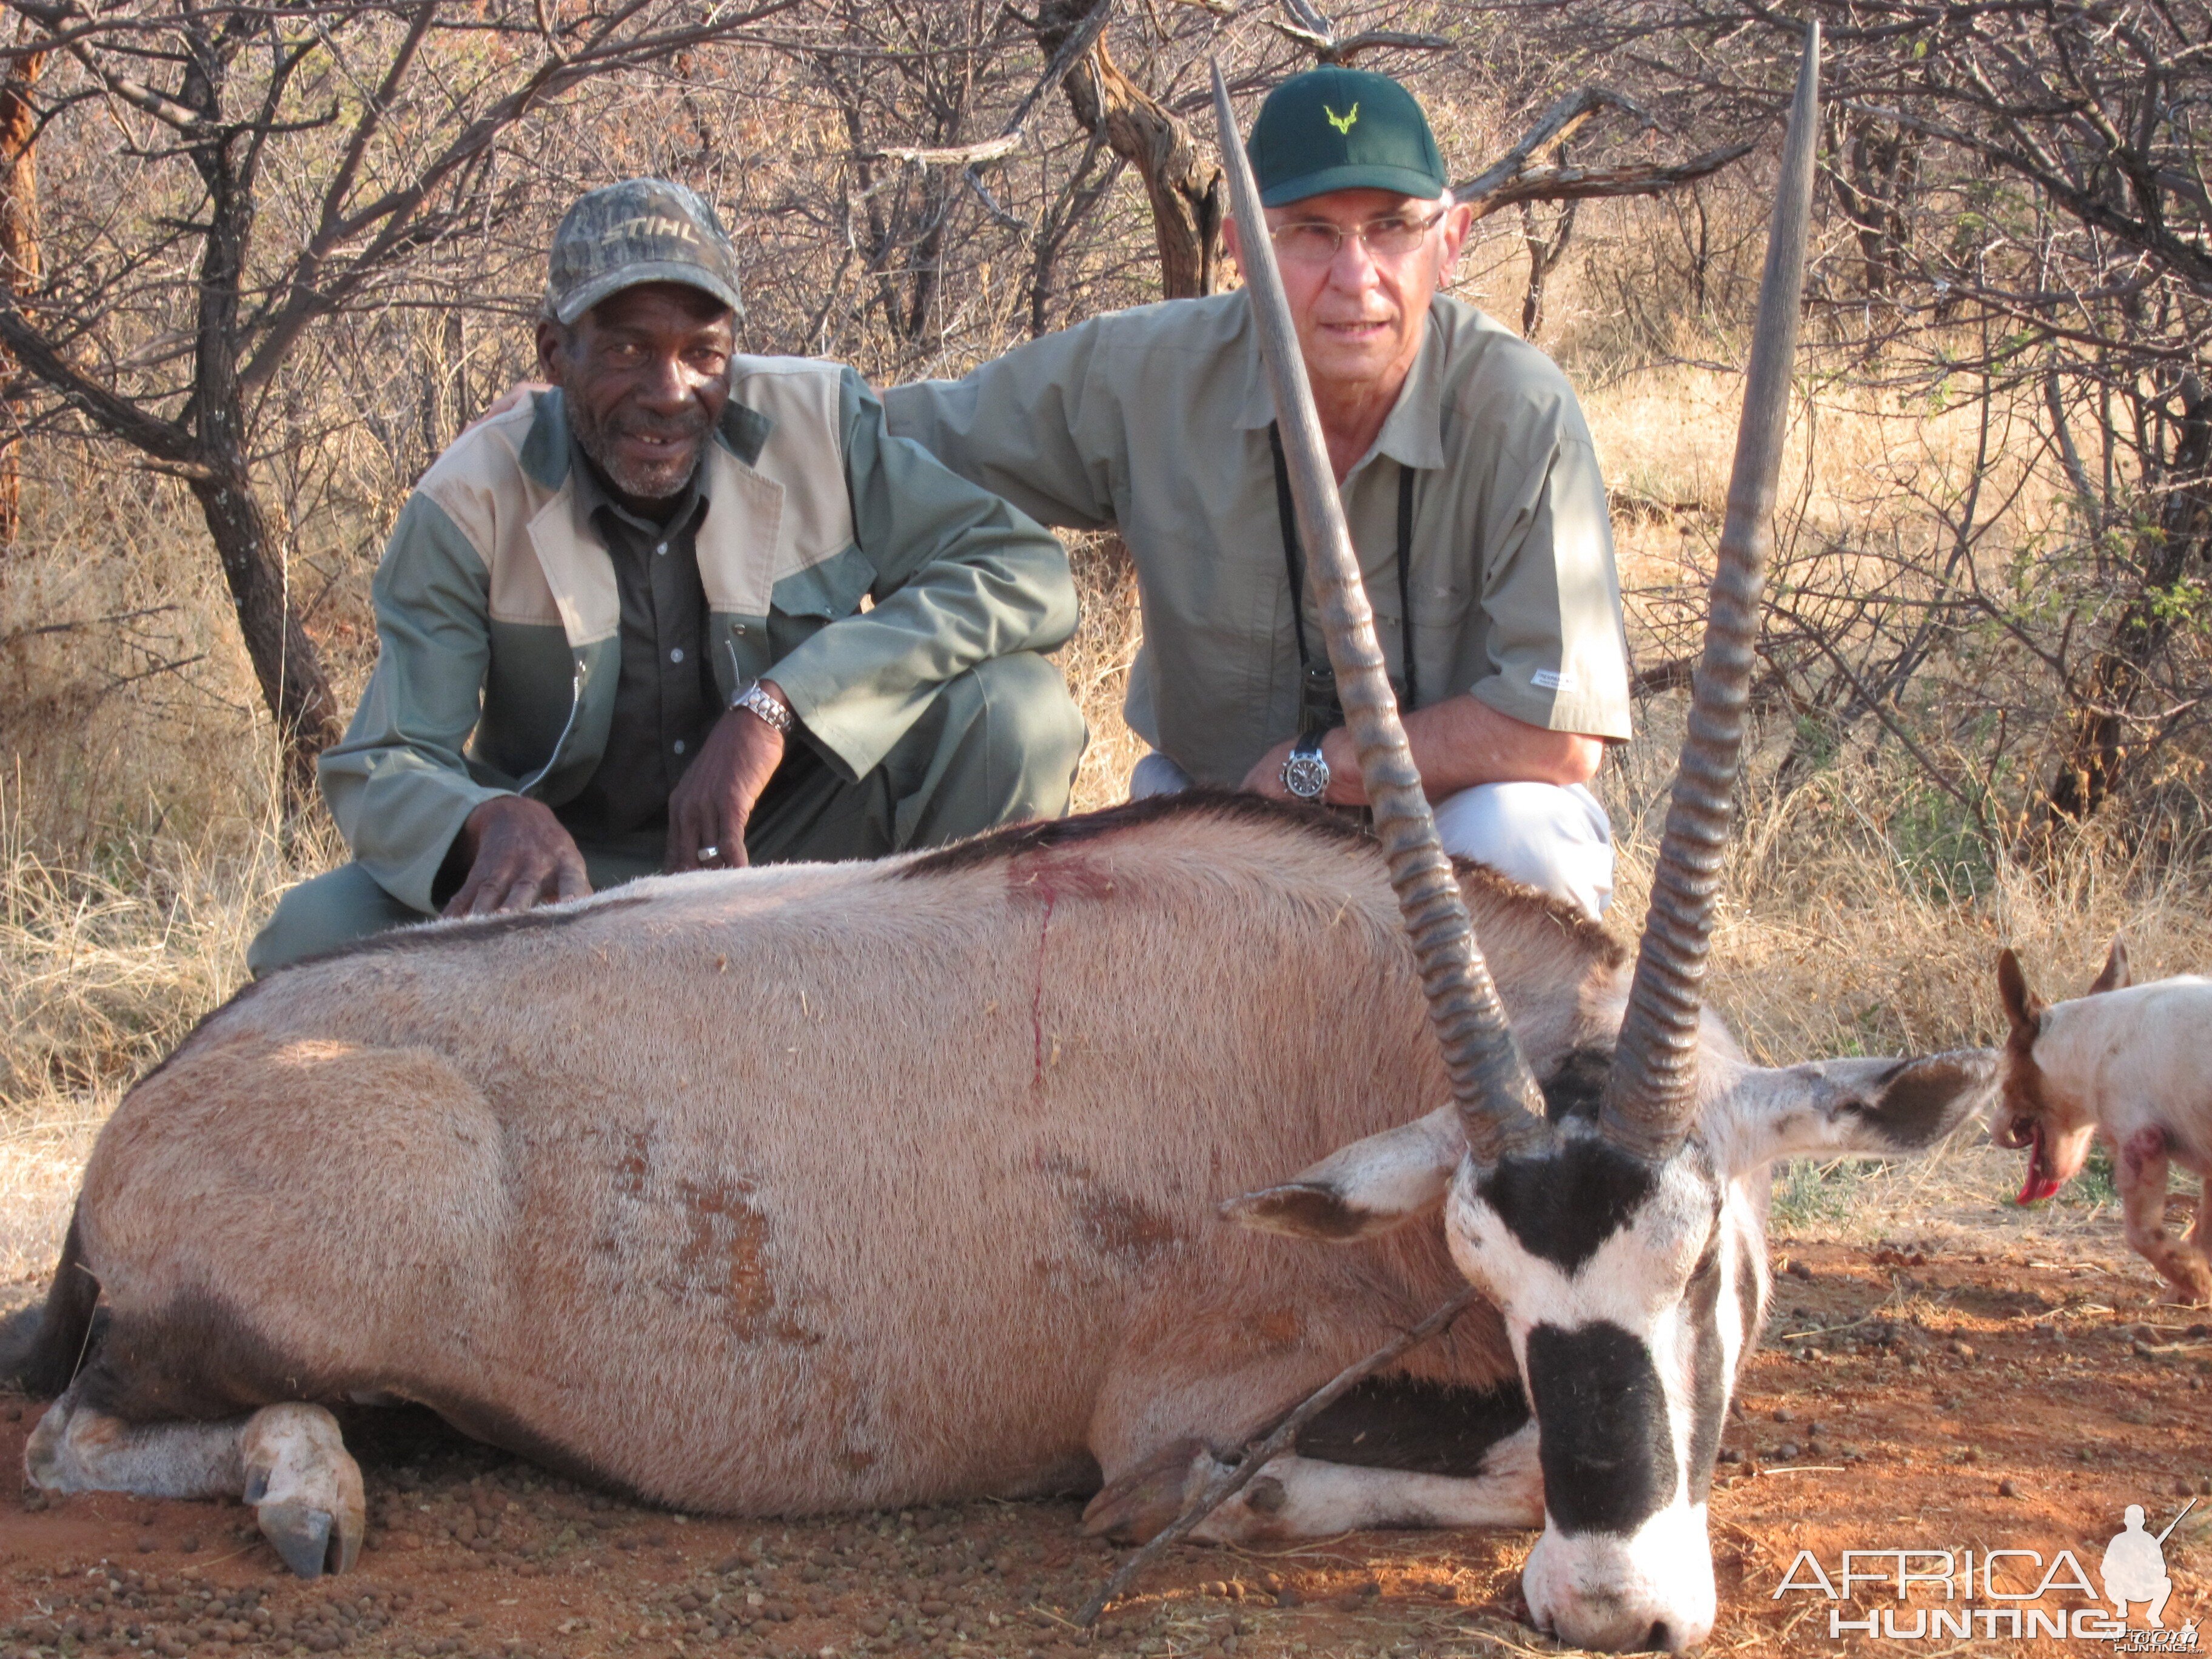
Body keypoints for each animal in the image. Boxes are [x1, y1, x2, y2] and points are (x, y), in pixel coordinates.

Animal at [1999, 942, 2203, 1309]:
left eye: (2006, 1079)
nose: (1997, 1128)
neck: (2097, 1043)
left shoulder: (2142, 1141)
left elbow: (2142, 1235)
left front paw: (2195, 1278)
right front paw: (2188, 1288)